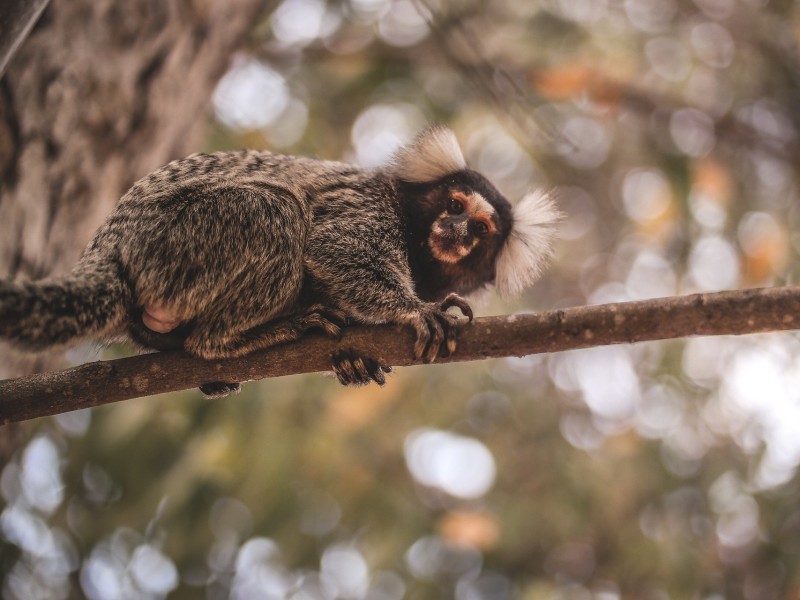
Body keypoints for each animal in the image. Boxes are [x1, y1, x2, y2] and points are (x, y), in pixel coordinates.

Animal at [0, 127, 559, 397]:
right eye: (455, 206)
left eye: (482, 230)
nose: (457, 233)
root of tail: (111, 245)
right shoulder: (368, 206)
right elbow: (336, 247)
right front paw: (414, 310)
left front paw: (356, 362)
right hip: (173, 238)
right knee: (279, 211)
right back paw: (232, 340)